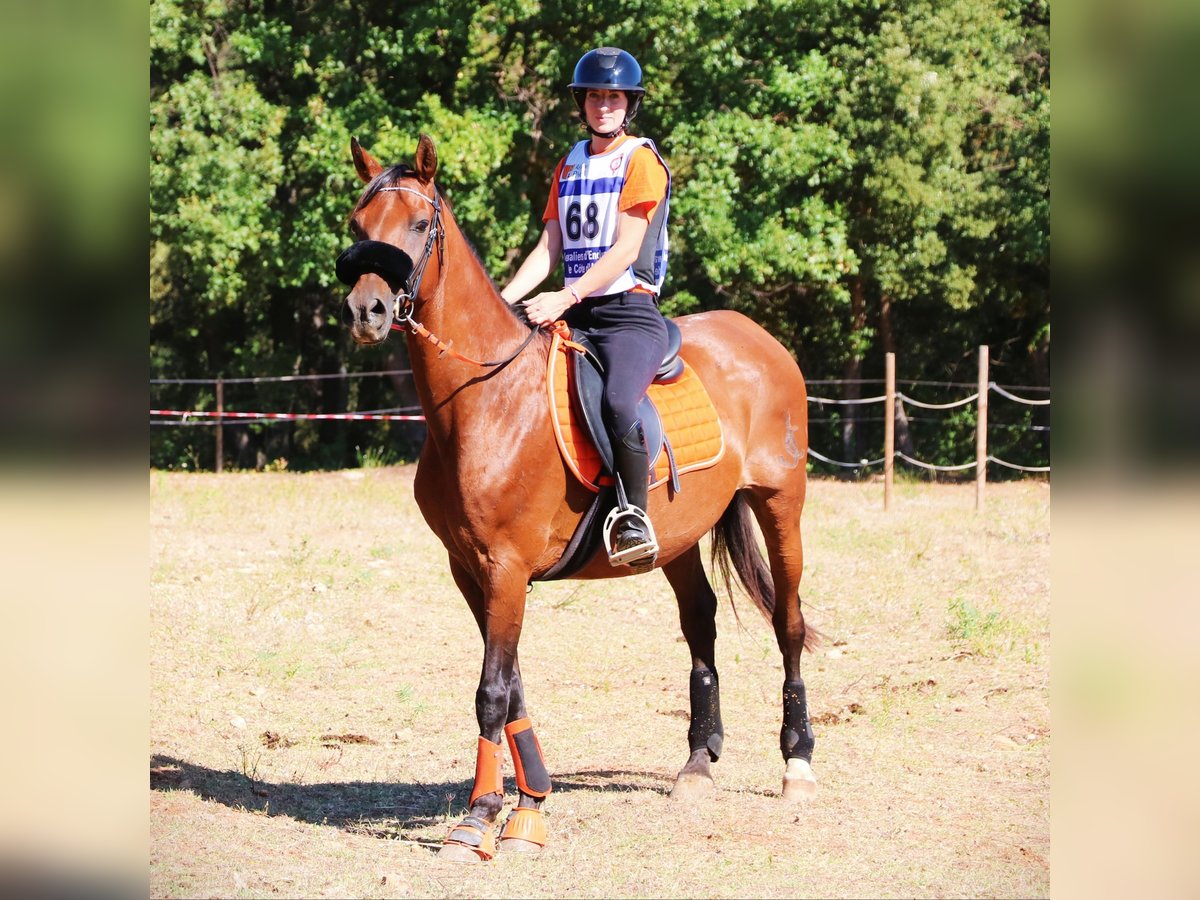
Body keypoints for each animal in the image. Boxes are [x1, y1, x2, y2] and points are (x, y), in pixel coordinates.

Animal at [340, 135, 816, 868]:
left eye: (419, 226)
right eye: (360, 225)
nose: (367, 311)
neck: (486, 396)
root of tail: (759, 338)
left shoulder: (506, 567)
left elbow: (491, 691)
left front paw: (480, 817)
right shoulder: (471, 571)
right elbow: (511, 687)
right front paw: (529, 803)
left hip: (780, 503)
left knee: (788, 622)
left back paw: (797, 763)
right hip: (676, 536)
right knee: (701, 625)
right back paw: (697, 764)